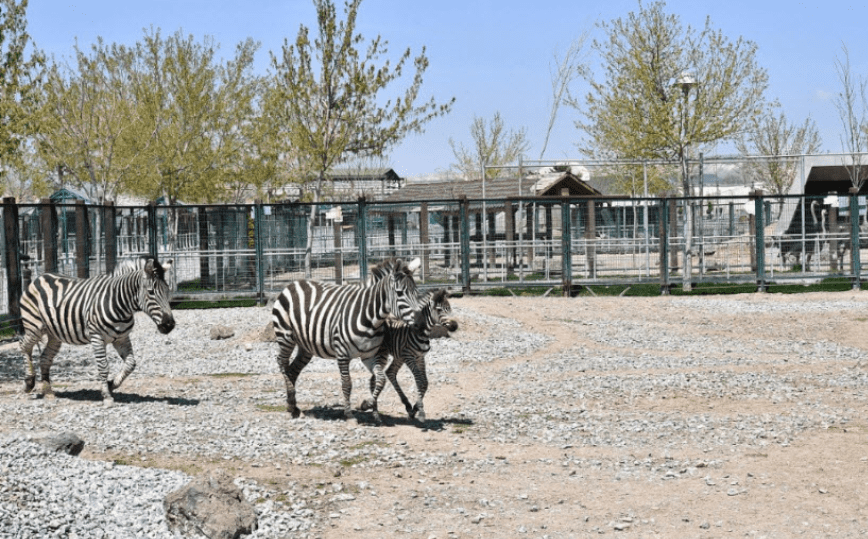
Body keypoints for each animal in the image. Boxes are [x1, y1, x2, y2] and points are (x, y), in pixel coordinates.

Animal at [20, 258, 175, 404]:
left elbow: (131, 364)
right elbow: (103, 367)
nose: (170, 325)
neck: (120, 304)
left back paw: (48, 391)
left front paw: (111, 384)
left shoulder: (122, 338)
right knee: (24, 346)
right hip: (34, 326)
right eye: (151, 292)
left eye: (167, 291)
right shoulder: (97, 337)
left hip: (55, 335)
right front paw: (106, 396)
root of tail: (40, 277)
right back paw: (29, 383)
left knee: (45, 358)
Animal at [270, 255, 422, 424]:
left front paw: (368, 405)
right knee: (282, 363)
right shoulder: (342, 354)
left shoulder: (369, 356)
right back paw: (291, 403)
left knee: (293, 369)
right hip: (286, 336)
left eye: (417, 292)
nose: (419, 322)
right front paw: (349, 414)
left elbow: (380, 380)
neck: (371, 318)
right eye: (400, 293)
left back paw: (293, 406)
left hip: (306, 346)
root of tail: (294, 283)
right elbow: (347, 384)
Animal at [360, 288, 454, 424]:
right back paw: (371, 409)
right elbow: (420, 381)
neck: (421, 332)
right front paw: (420, 412)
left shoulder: (420, 357)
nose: (454, 325)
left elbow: (425, 382)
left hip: (397, 356)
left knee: (387, 373)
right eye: (439, 309)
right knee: (378, 378)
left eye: (449, 308)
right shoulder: (409, 357)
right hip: (383, 354)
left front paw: (414, 409)